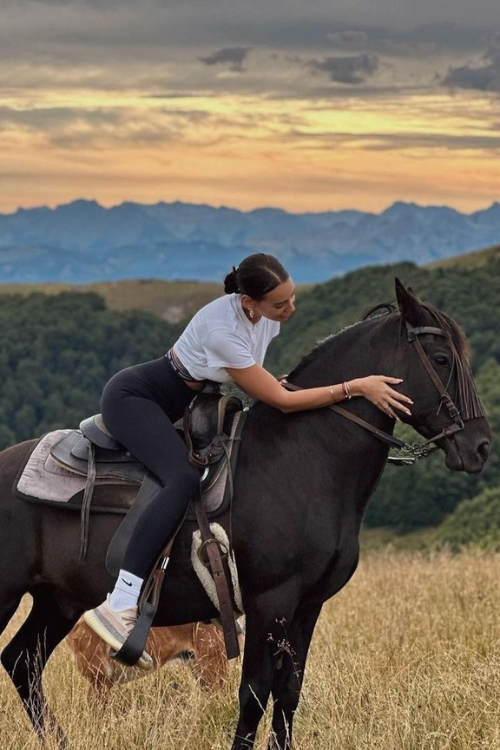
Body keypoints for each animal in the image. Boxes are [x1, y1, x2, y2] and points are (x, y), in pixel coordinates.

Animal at [0, 280, 490, 750]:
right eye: (442, 358)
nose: (481, 446)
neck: (302, 459)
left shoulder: (306, 605)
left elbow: (288, 693)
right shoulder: (269, 602)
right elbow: (254, 692)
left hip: (59, 600)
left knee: (22, 662)